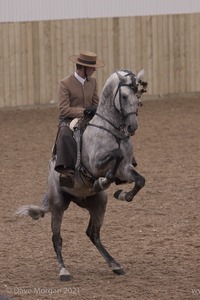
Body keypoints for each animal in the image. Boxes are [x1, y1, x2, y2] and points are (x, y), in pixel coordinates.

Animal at [17, 69, 148, 280]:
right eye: (124, 96)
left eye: (137, 95)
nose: (132, 127)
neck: (111, 131)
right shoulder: (95, 164)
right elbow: (115, 157)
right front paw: (101, 182)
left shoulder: (125, 168)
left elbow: (140, 180)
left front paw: (123, 194)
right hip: (58, 204)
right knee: (56, 238)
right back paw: (63, 270)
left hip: (98, 203)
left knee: (93, 234)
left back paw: (115, 264)